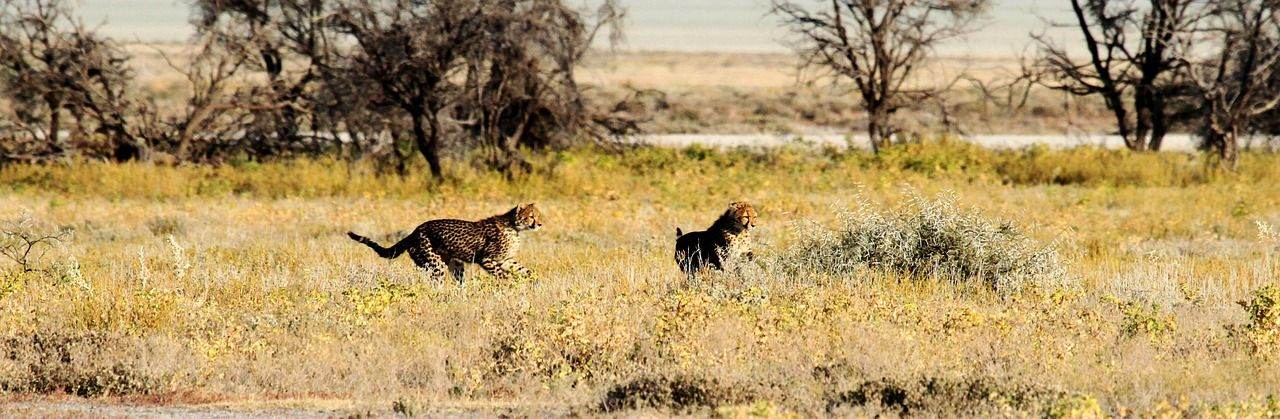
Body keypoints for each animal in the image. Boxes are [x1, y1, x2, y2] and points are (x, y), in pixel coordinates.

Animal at [350, 205, 545, 284]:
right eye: (531, 216)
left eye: (538, 215)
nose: (540, 224)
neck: (513, 226)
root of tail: (415, 230)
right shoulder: (487, 259)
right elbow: (502, 274)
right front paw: (510, 284)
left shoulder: (506, 260)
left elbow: (524, 270)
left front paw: (535, 281)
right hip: (435, 264)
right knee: (435, 284)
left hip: (454, 264)